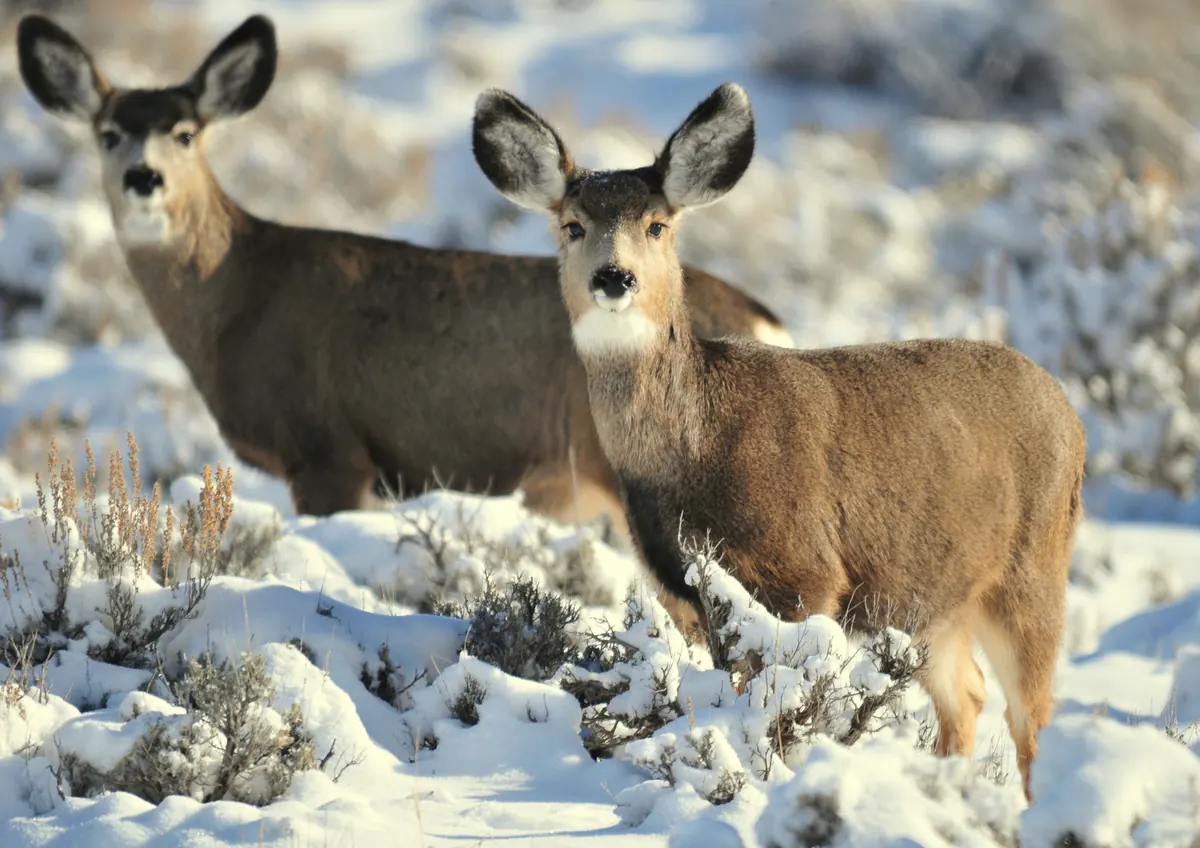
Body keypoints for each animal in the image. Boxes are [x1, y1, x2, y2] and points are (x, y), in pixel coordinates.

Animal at [14, 13, 792, 561]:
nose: (143, 177)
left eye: (184, 132)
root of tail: (768, 324)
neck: (240, 294)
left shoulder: (327, 448)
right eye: (108, 133)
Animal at [472, 81, 1086, 801]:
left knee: (1033, 716)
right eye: (571, 225)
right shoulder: (682, 587)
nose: (614, 277)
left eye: (658, 224)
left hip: (1033, 568)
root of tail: (1072, 415)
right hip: (936, 598)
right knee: (967, 698)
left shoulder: (806, 571)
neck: (696, 447)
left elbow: (778, 701)